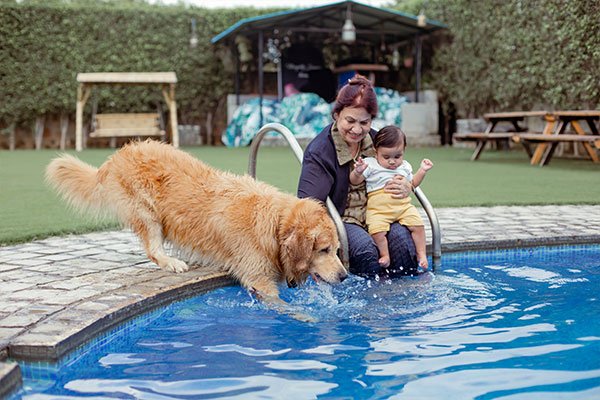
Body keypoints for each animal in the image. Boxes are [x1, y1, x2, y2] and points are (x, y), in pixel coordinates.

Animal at [45, 141, 346, 300]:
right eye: (323, 250)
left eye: (337, 250)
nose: (344, 276)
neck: (275, 222)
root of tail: (117, 155)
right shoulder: (258, 279)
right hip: (147, 214)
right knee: (152, 249)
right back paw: (172, 262)